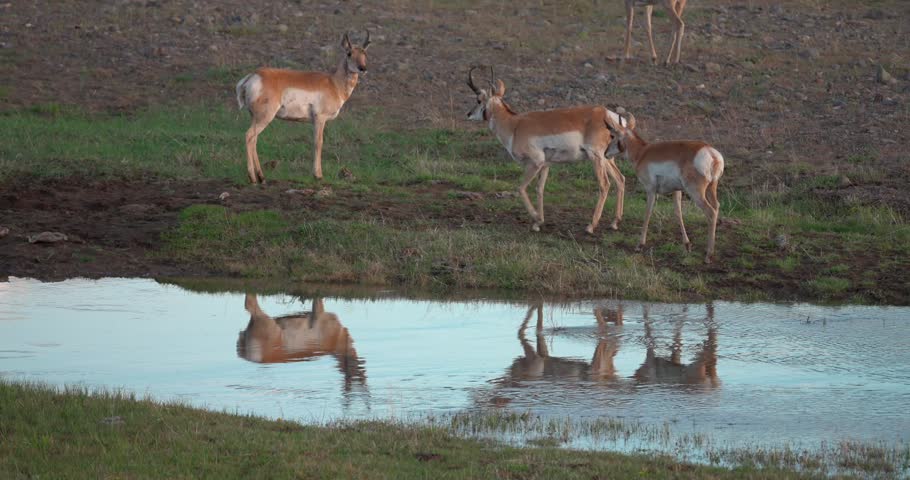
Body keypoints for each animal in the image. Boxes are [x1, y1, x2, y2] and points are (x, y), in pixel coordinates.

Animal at [235, 31, 371, 183]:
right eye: (349, 53)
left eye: (364, 53)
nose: (362, 68)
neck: (334, 83)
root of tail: (253, 76)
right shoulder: (320, 119)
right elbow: (318, 143)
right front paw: (318, 175)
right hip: (264, 117)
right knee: (249, 136)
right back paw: (253, 178)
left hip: (256, 118)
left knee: (254, 139)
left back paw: (261, 176)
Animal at [466, 67, 626, 234]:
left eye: (478, 100)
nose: (468, 114)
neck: (514, 125)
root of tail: (607, 114)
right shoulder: (545, 165)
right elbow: (540, 189)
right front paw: (539, 222)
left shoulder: (535, 163)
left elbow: (521, 188)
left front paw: (536, 219)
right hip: (607, 158)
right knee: (620, 179)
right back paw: (615, 222)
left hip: (596, 157)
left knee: (605, 184)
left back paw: (591, 226)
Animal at [605, 110, 724, 263]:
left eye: (612, 136)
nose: (605, 153)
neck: (642, 153)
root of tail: (711, 153)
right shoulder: (676, 191)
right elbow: (678, 213)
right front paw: (687, 245)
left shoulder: (650, 190)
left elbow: (648, 212)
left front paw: (639, 245)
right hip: (711, 188)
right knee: (716, 206)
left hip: (696, 192)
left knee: (710, 212)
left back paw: (708, 255)